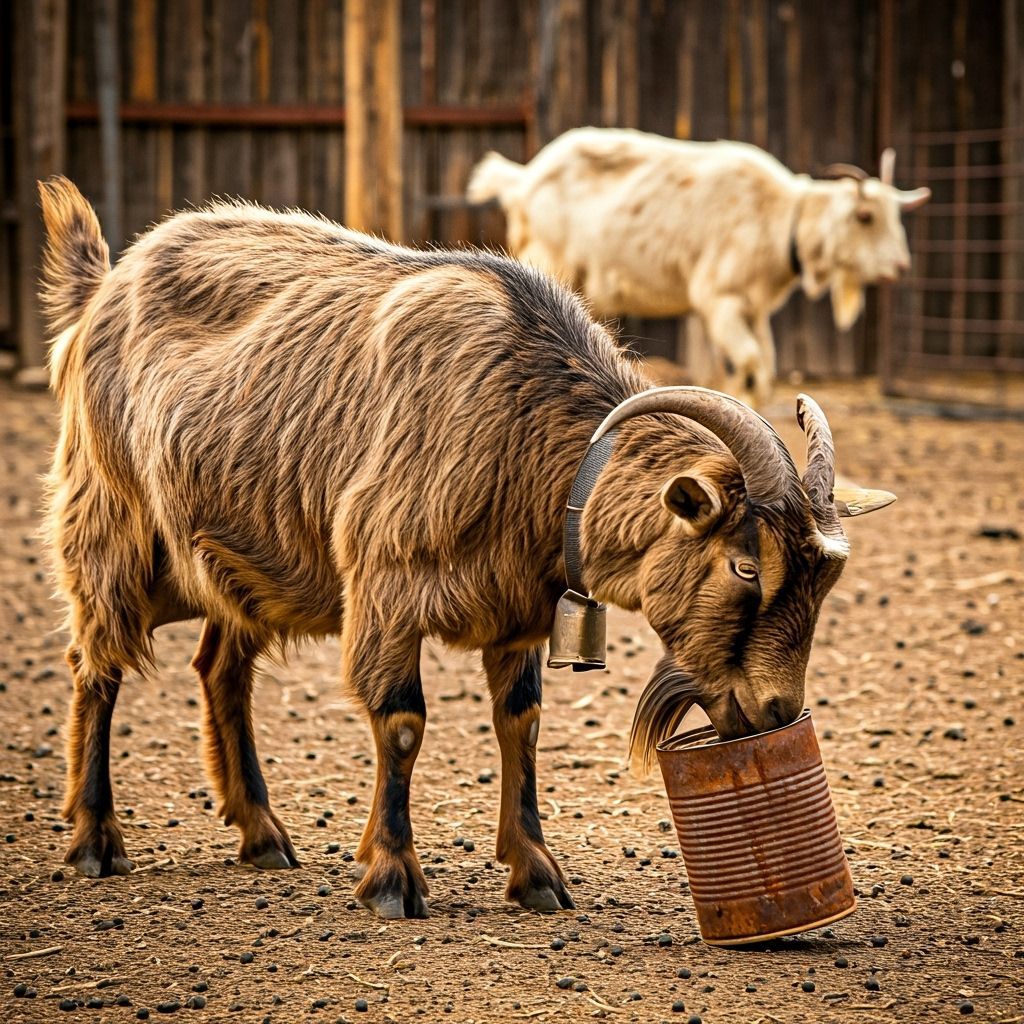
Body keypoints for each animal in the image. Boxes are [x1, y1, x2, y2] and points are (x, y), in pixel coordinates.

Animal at [39, 178, 892, 918]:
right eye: (746, 565)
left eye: (822, 584)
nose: (777, 710)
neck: (524, 428)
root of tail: (105, 285)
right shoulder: (385, 587)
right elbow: (402, 722)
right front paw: (392, 877)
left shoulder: (516, 609)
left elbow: (522, 722)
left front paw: (537, 872)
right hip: (111, 524)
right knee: (95, 664)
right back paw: (95, 843)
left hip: (241, 555)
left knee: (220, 667)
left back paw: (262, 834)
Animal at [467, 128, 930, 407]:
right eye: (866, 216)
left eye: (896, 213)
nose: (900, 266)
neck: (780, 216)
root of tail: (522, 179)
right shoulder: (719, 299)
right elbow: (749, 369)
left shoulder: (749, 308)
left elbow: (754, 373)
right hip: (548, 260)